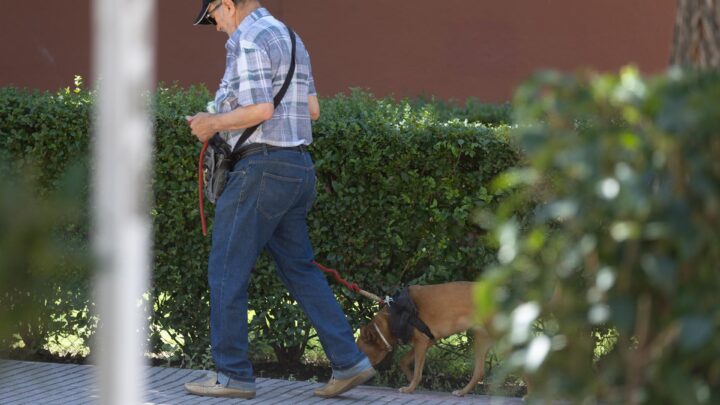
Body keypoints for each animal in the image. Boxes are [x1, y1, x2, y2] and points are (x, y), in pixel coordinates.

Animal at [354, 280, 496, 394]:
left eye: (360, 352)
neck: (394, 315)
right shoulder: (428, 341)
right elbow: (403, 361)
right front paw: (412, 380)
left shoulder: (421, 342)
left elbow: (417, 371)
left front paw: (410, 388)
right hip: (482, 339)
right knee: (479, 372)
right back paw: (462, 392)